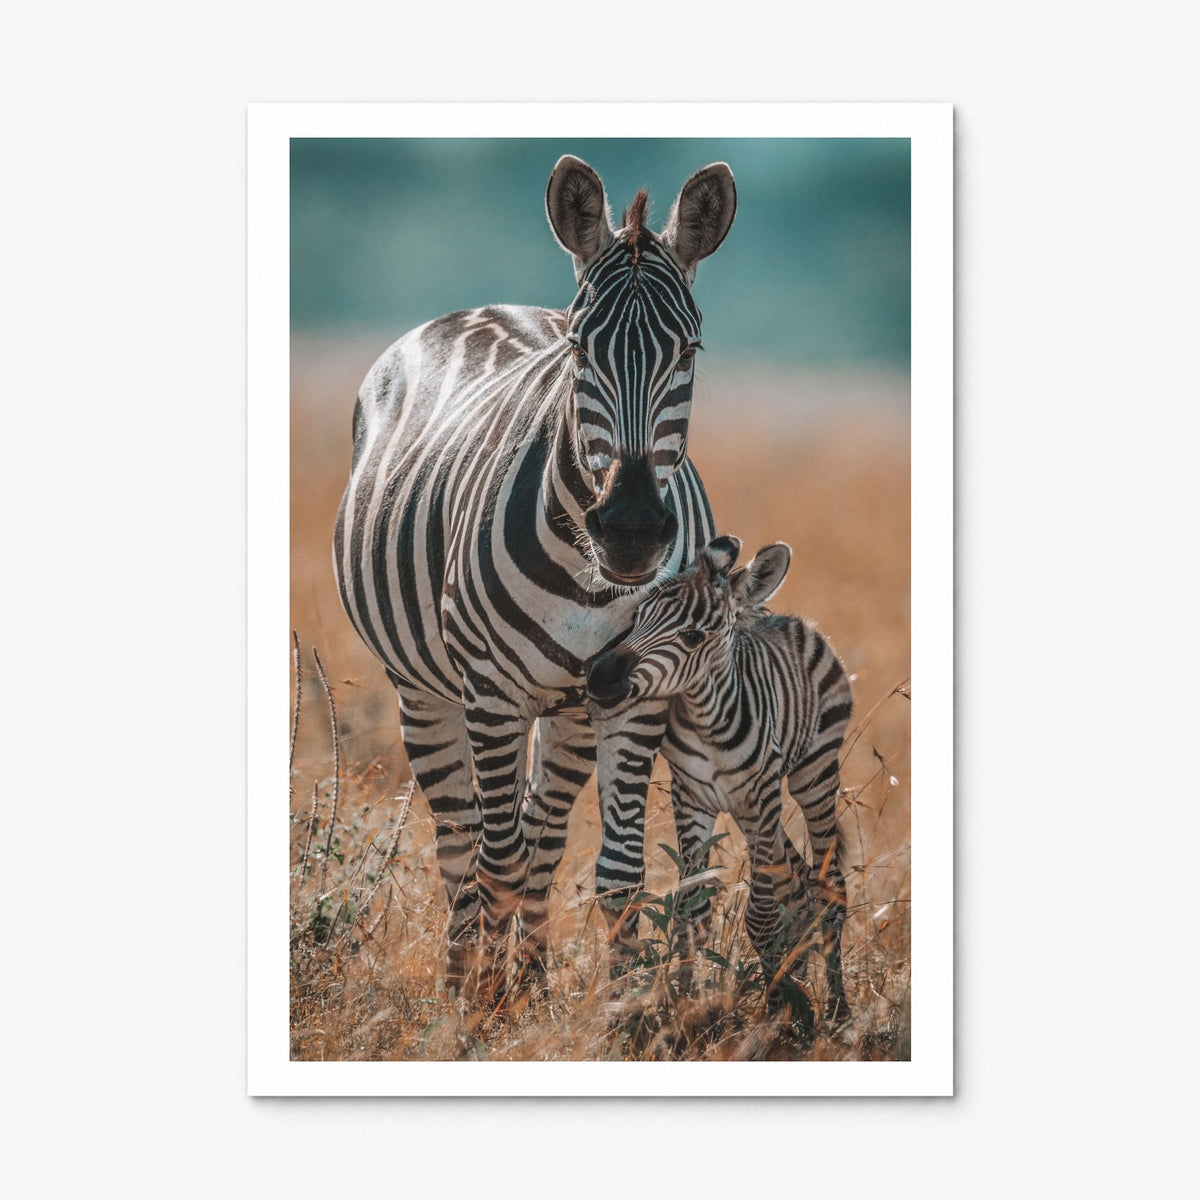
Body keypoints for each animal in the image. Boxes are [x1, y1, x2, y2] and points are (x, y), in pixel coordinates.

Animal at [333, 155, 738, 991]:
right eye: (582, 351)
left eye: (689, 353)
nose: (632, 530)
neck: (592, 580)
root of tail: (489, 306)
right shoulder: (490, 689)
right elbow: (495, 862)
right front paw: (487, 1006)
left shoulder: (635, 693)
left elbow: (617, 872)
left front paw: (626, 1005)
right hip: (425, 690)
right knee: (465, 844)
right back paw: (466, 981)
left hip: (570, 708)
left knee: (541, 835)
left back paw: (531, 979)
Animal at [585, 536, 853, 1018]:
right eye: (637, 616)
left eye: (692, 636)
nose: (598, 677)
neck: (707, 718)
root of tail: (790, 619)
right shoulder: (690, 798)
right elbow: (691, 909)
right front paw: (688, 1003)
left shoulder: (763, 796)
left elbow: (761, 916)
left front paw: (775, 1012)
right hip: (753, 807)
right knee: (799, 881)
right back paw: (799, 978)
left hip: (814, 774)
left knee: (829, 887)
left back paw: (838, 1010)